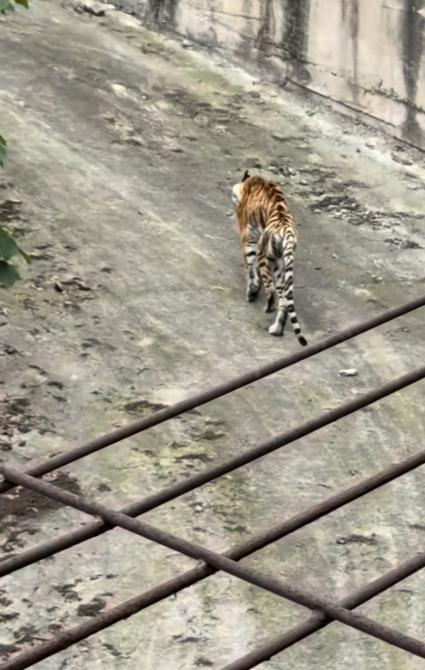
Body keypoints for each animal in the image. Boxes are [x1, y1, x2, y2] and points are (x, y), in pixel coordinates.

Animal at [231, 170, 307, 346]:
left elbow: (251, 271)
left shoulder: (249, 241)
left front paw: (251, 292)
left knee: (272, 291)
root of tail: (287, 230)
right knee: (284, 301)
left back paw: (267, 309)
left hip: (266, 256)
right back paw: (276, 329)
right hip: (281, 266)